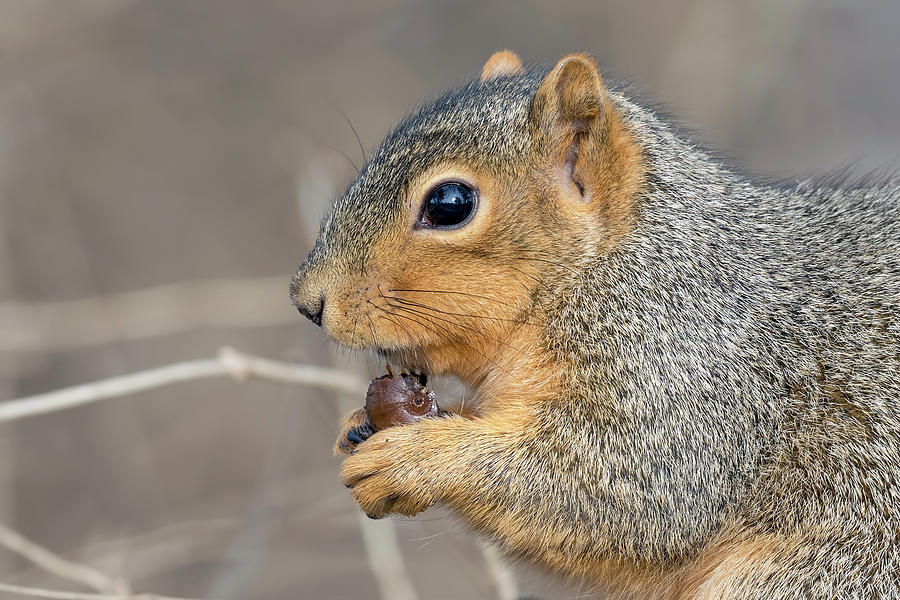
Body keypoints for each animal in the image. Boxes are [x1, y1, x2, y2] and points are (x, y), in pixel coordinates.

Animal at [290, 52, 900, 600]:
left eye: (449, 204)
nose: (307, 301)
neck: (606, 267)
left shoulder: (691, 365)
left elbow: (631, 492)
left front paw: (415, 458)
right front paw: (363, 425)